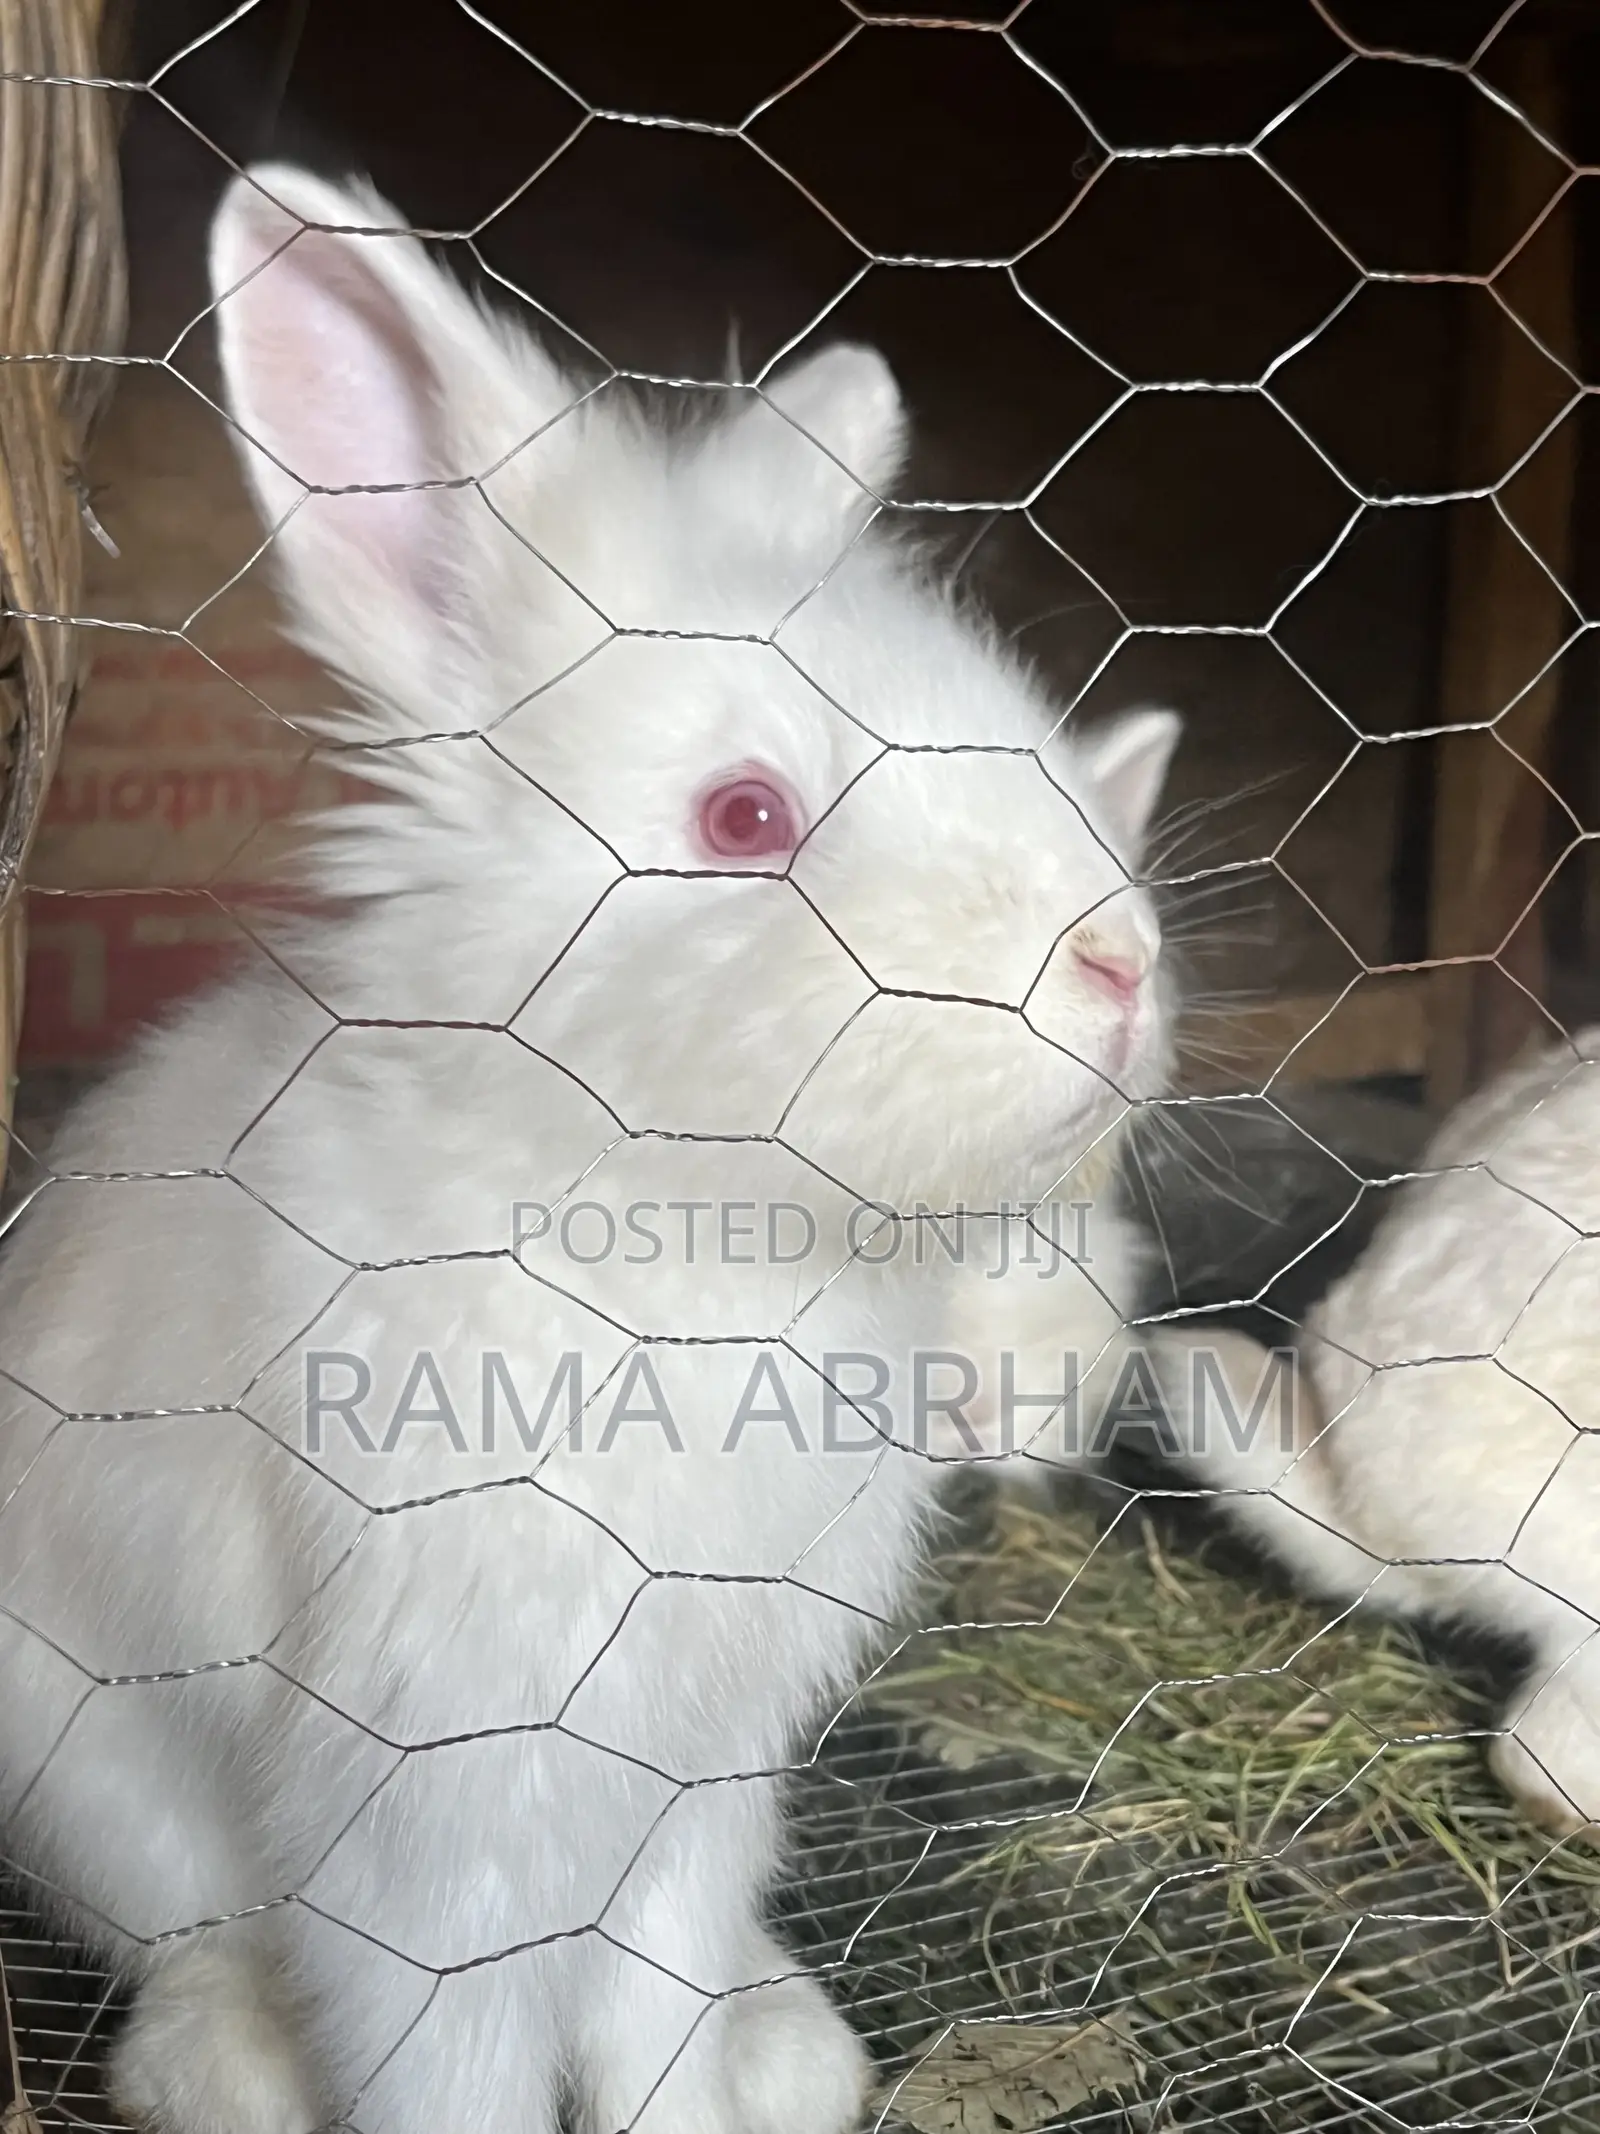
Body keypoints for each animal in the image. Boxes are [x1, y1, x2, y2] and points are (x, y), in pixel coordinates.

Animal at [0, 164, 1180, 2134]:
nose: (1120, 960)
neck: (668, 1227)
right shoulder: (436, 1815)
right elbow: (452, 2061)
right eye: (746, 814)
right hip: (86, 1781)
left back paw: (791, 2044)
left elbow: (653, 2012)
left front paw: (705, 2093)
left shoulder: (698, 1779)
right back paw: (231, 2062)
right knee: (179, 1939)